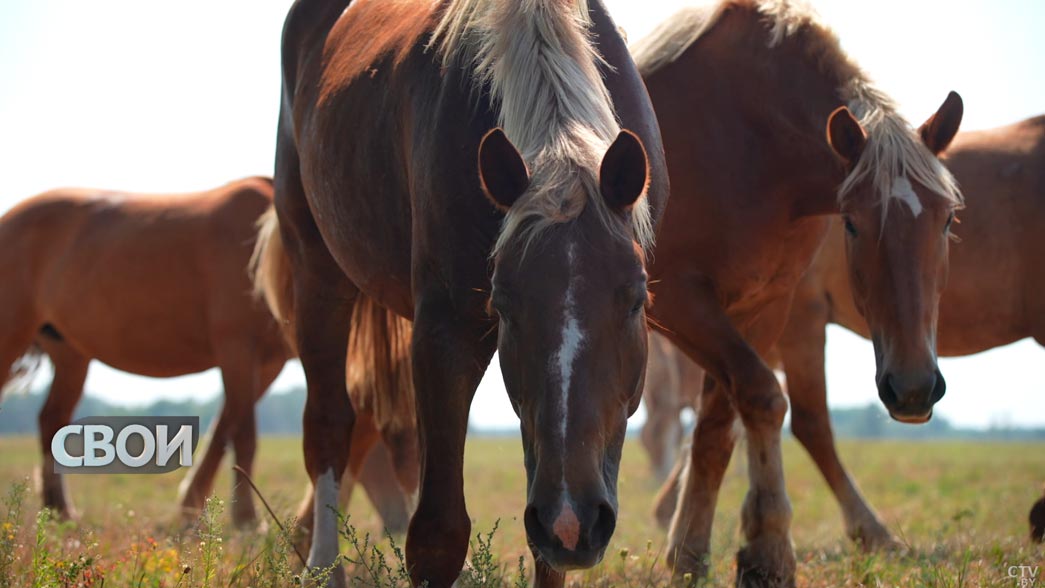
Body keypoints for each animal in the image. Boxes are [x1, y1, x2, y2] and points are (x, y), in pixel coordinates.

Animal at [249, 2, 664, 584]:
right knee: (330, 426)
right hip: (317, 272)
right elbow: (437, 534)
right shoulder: (445, 330)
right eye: (503, 304)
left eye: (635, 300)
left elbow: (545, 554)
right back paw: (324, 564)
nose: (571, 521)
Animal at [627, 2, 961, 584]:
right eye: (851, 223)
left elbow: (718, 423)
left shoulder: (762, 305)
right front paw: (768, 549)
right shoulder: (678, 300)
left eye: (946, 220)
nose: (914, 389)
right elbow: (763, 397)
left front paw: (690, 552)